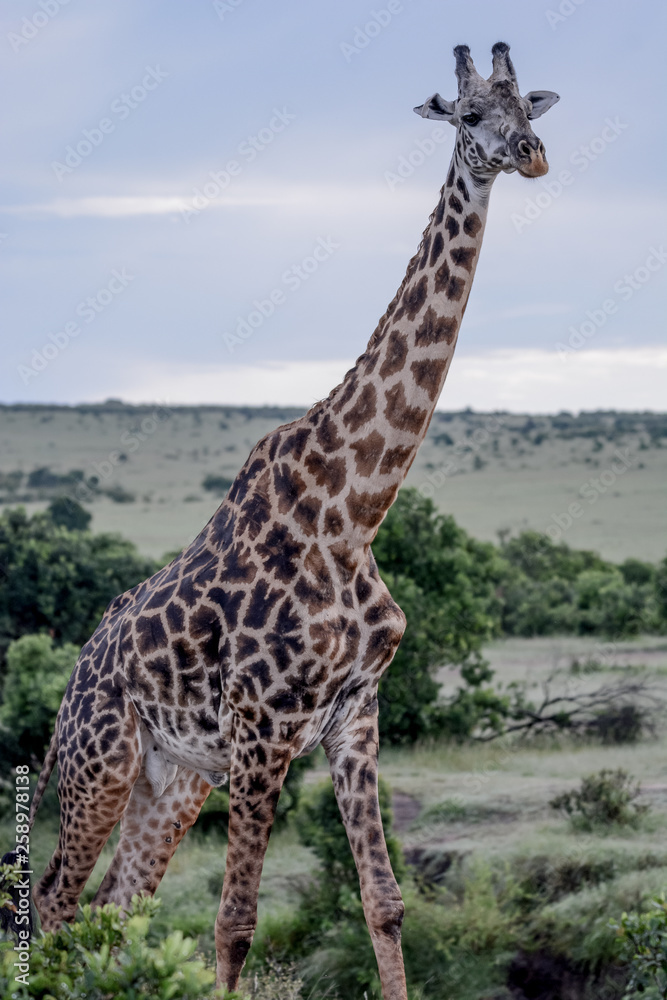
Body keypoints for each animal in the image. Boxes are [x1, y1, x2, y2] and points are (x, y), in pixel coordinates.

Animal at [18, 43, 557, 999]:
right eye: (466, 116)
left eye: (526, 106)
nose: (529, 154)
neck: (353, 510)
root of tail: (72, 677)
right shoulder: (264, 723)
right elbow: (234, 921)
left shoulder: (354, 716)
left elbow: (384, 903)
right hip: (99, 761)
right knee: (57, 900)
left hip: (174, 777)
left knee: (120, 904)